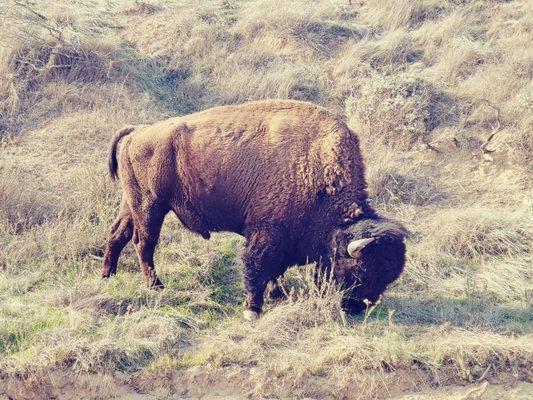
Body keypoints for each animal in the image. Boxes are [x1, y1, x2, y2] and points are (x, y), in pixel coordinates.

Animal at [102, 99, 406, 318]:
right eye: (359, 270)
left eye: (389, 276)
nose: (357, 307)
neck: (316, 170)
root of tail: (137, 131)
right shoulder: (265, 233)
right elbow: (257, 266)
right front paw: (253, 310)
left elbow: (275, 270)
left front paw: (277, 293)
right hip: (151, 205)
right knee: (144, 242)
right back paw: (155, 286)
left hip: (132, 203)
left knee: (118, 233)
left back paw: (108, 275)